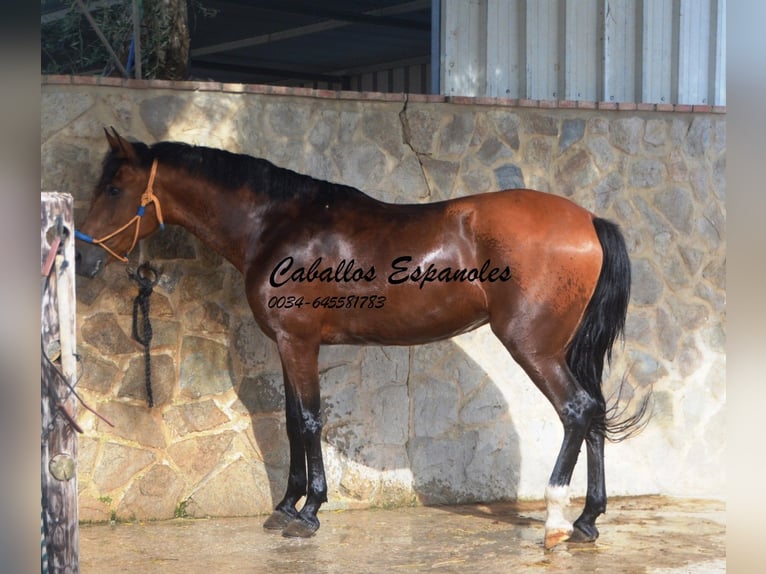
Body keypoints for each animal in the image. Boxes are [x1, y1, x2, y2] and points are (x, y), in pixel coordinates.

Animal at [76, 128, 640, 552]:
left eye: (113, 189)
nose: (81, 257)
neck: (277, 225)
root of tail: (588, 220)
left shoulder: (297, 342)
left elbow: (307, 419)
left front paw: (309, 511)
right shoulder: (288, 344)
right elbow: (291, 421)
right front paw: (285, 506)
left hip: (534, 348)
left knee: (575, 410)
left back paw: (556, 521)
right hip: (569, 350)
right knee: (594, 413)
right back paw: (587, 520)